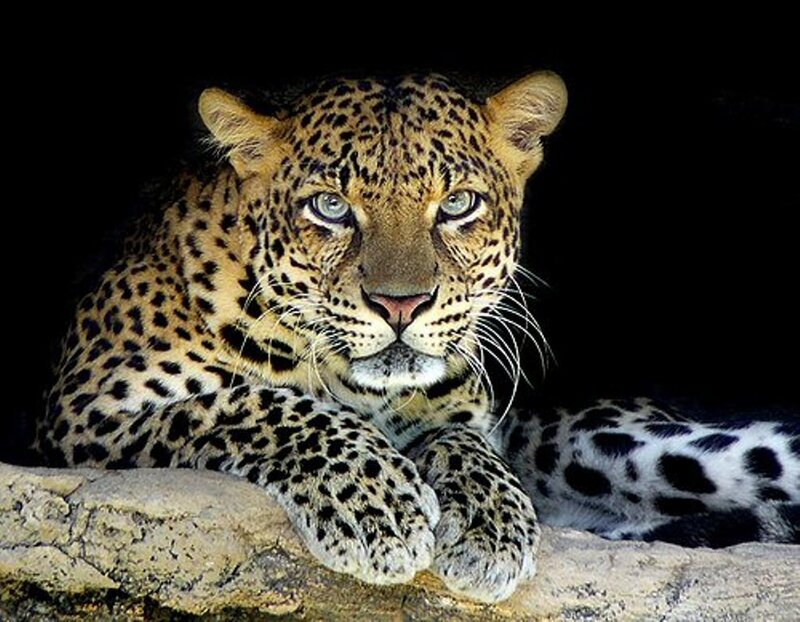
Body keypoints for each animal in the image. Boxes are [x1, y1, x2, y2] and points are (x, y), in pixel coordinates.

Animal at [35, 71, 799, 604]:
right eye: (331, 207)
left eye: (457, 204)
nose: (399, 304)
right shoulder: (85, 412)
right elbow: (254, 404)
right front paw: (378, 507)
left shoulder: (464, 411)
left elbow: (464, 441)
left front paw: (490, 526)